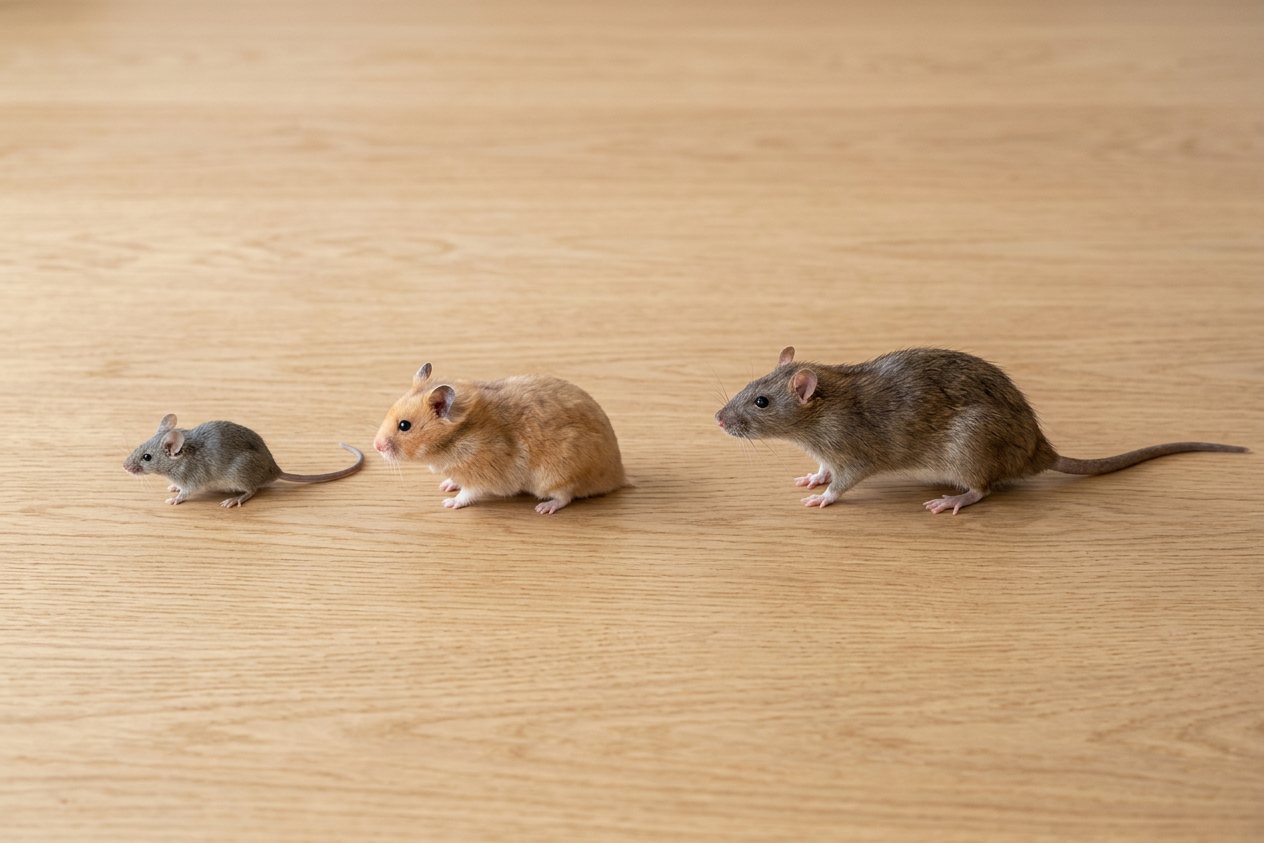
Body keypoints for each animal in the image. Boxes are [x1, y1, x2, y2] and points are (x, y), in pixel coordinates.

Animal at [124, 414, 364, 507]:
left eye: (147, 457)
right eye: (141, 446)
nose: (124, 466)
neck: (181, 457)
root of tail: (275, 470)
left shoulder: (191, 480)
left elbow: (185, 493)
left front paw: (174, 499)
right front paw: (172, 487)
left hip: (238, 475)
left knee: (252, 491)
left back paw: (233, 500)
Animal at [373, 363, 626, 514]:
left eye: (404, 426)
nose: (375, 446)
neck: (454, 438)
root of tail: (618, 476)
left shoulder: (482, 476)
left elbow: (467, 494)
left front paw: (447, 503)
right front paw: (445, 486)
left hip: (556, 476)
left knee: (565, 497)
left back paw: (544, 508)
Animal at [715, 347, 1248, 514]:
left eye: (761, 402)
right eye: (750, 387)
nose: (718, 419)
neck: (825, 402)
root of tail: (1039, 452)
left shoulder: (853, 450)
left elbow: (845, 478)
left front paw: (825, 498)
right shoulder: (829, 452)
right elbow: (825, 469)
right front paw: (813, 478)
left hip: (969, 448)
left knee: (984, 488)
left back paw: (953, 500)